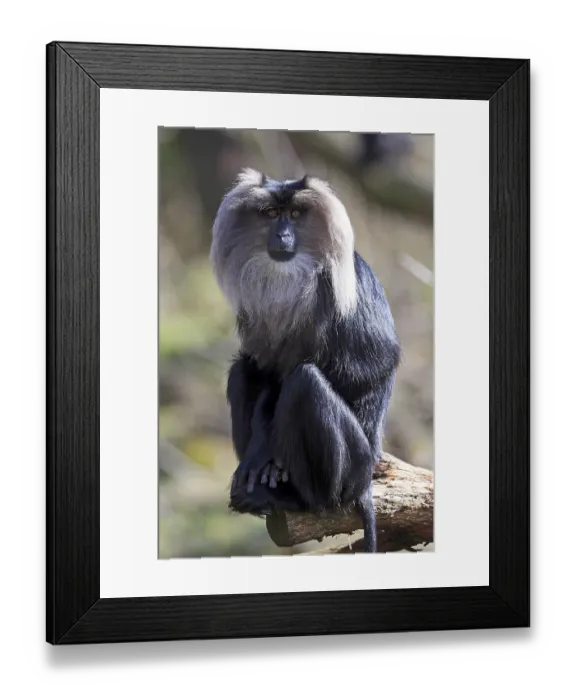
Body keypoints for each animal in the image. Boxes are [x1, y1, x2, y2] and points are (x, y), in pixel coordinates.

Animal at [210, 168, 401, 553]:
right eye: (270, 214)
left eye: (296, 215)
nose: (283, 236)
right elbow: (261, 369)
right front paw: (259, 451)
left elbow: (373, 366)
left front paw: (268, 455)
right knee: (241, 371)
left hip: (356, 467)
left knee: (306, 381)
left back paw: (299, 499)